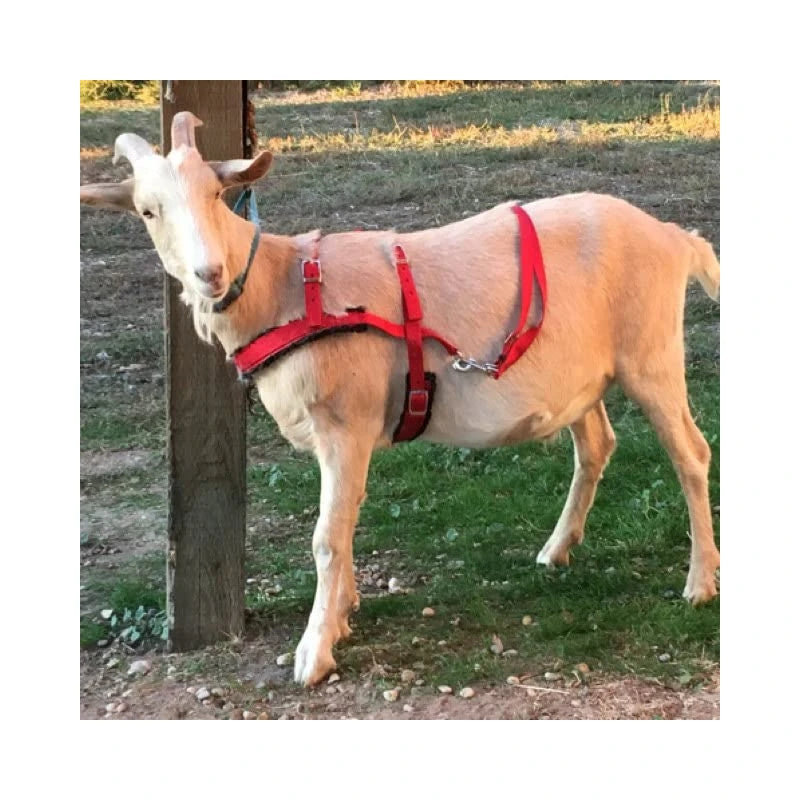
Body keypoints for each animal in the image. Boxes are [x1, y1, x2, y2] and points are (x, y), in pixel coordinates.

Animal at [80, 111, 720, 687]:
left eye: (217, 194)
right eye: (148, 210)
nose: (210, 274)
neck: (282, 288)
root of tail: (675, 238)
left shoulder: (345, 421)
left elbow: (326, 538)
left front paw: (314, 653)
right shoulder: (346, 433)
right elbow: (346, 523)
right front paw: (342, 615)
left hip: (651, 354)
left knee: (691, 454)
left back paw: (700, 582)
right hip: (580, 377)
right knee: (596, 445)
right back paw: (557, 548)